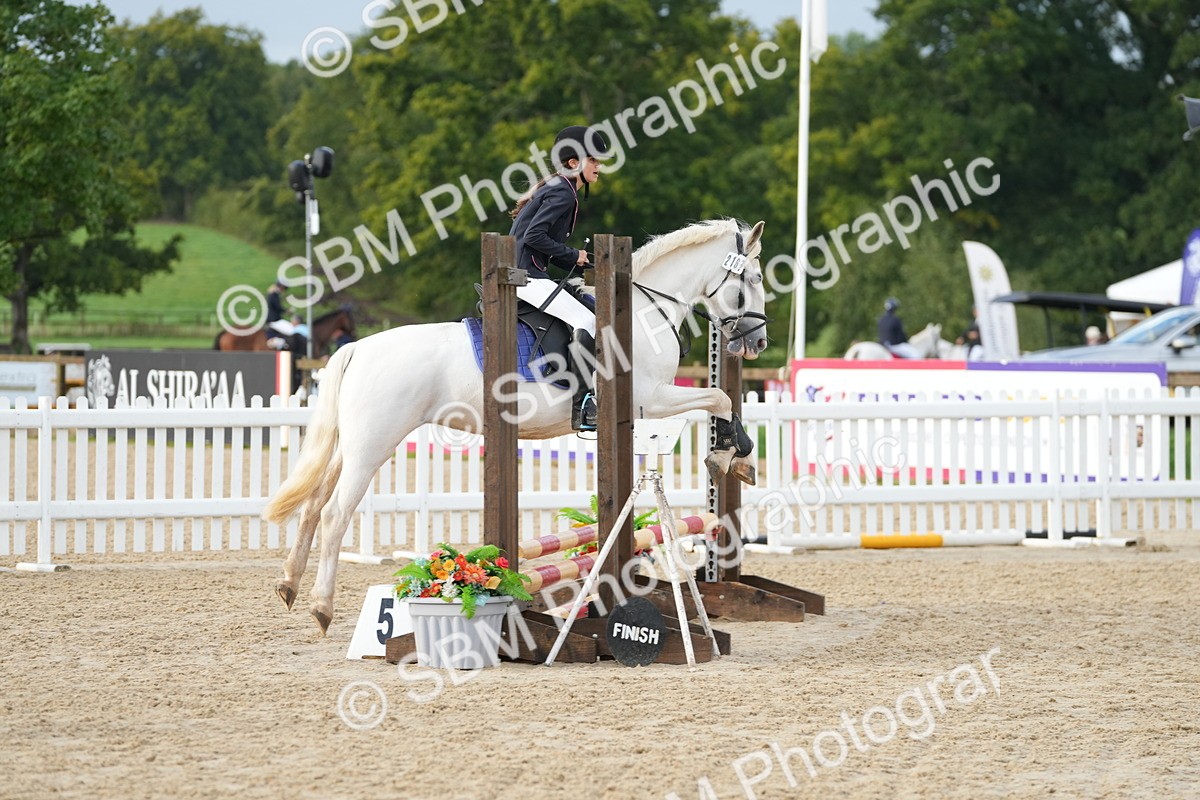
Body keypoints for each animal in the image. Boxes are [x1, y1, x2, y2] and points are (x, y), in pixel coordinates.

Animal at [262, 219, 771, 633]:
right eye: (753, 279)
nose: (758, 342)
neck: (643, 312)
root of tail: (357, 348)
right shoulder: (651, 398)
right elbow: (721, 397)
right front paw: (731, 454)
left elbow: (720, 400)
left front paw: (733, 456)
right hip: (374, 443)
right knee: (334, 512)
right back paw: (321, 607)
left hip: (352, 445)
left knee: (313, 505)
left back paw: (289, 584)